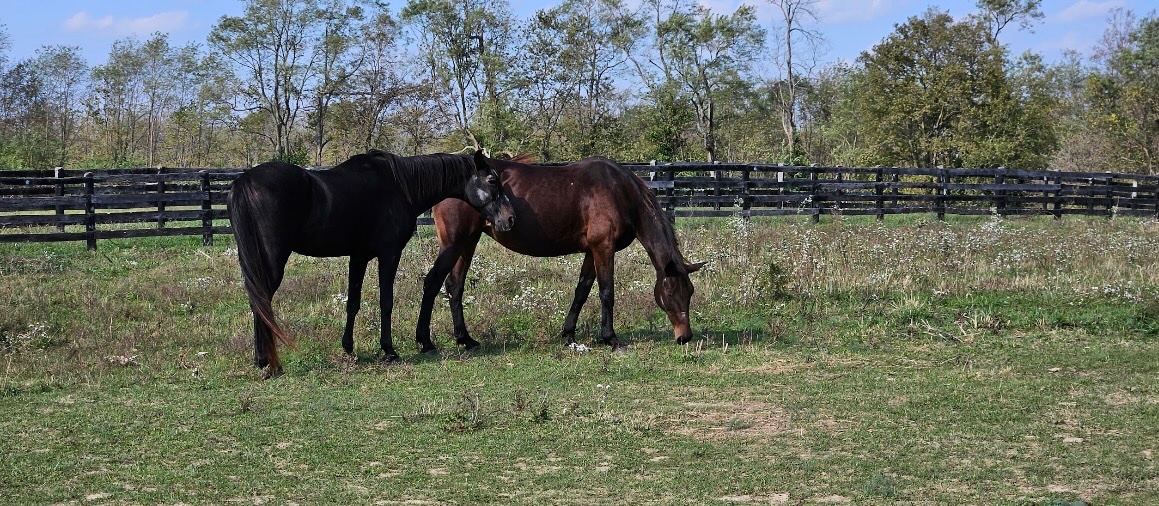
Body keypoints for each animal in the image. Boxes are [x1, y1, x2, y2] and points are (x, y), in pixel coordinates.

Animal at [228, 149, 515, 377]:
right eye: (492, 180)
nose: (510, 218)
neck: (401, 186)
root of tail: (245, 181)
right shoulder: (389, 254)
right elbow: (386, 301)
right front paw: (389, 350)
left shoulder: (359, 257)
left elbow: (352, 304)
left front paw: (348, 347)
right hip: (272, 261)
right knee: (262, 301)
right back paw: (269, 362)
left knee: (258, 301)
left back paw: (263, 360)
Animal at [415, 156, 704, 351]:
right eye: (669, 293)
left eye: (690, 292)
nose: (685, 337)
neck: (620, 191)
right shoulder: (604, 248)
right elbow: (606, 292)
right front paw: (611, 339)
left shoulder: (591, 251)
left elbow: (582, 291)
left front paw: (568, 334)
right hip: (455, 242)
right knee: (433, 283)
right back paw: (425, 341)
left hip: (468, 242)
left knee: (455, 285)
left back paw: (465, 339)